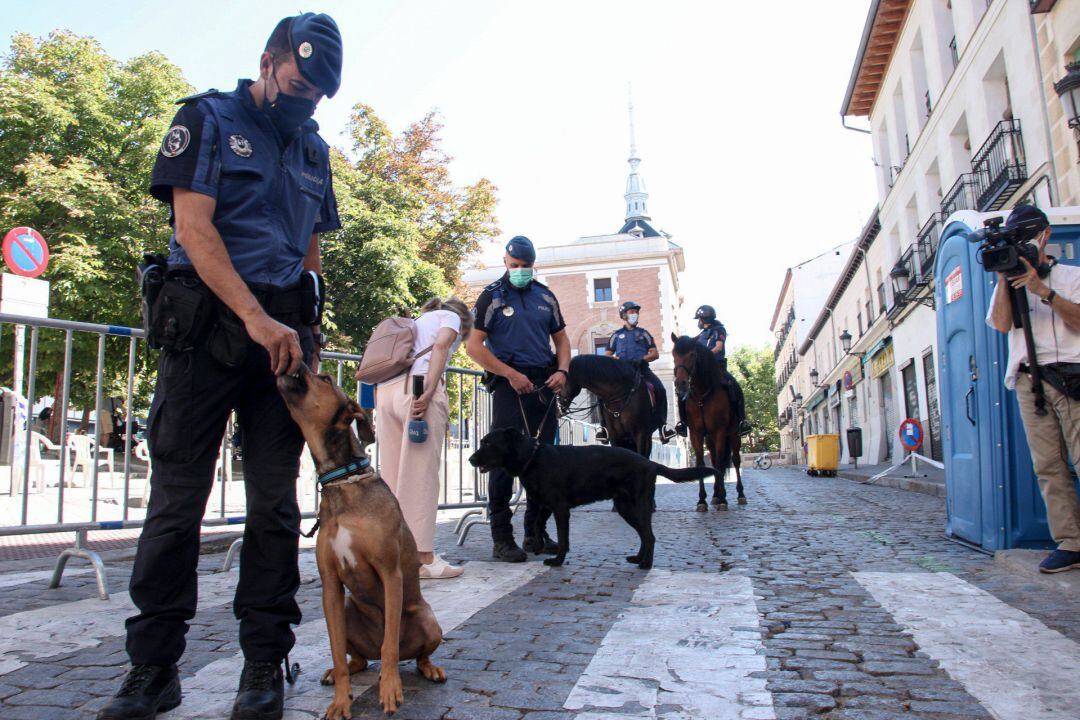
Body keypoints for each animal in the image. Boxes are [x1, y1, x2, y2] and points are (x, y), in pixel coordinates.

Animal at [282, 369, 447, 716]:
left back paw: (427, 669)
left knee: (409, 655)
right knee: (357, 658)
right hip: (347, 611)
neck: (343, 480)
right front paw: (340, 702)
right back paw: (341, 671)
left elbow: (389, 646)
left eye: (325, 378)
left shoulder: (390, 574)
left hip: (427, 620)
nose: (295, 367)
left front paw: (390, 691)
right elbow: (335, 650)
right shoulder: (331, 587)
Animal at [466, 427, 712, 569]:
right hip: (625, 508)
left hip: (640, 506)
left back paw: (646, 565)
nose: (470, 459)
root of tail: (650, 463)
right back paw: (638, 559)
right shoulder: (545, 506)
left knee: (650, 536)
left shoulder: (560, 509)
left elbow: (563, 538)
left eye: (488, 443)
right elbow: (536, 524)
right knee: (644, 535)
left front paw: (557, 561)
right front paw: (537, 545)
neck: (532, 458)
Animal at [665, 334, 743, 511]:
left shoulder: (720, 431)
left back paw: (740, 494)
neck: (702, 395)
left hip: (734, 434)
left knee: (735, 460)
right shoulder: (696, 432)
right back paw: (715, 495)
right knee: (713, 461)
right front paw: (702, 500)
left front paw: (723, 499)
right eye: (674, 354)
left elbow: (721, 463)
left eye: (692, 354)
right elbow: (702, 464)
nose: (680, 383)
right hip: (710, 438)